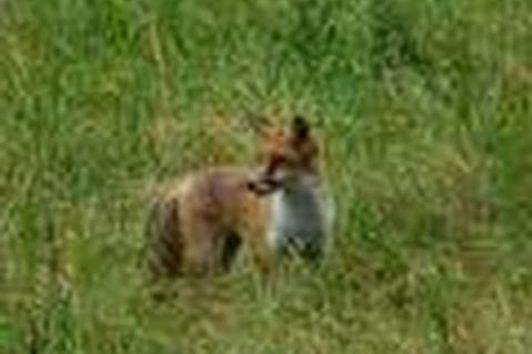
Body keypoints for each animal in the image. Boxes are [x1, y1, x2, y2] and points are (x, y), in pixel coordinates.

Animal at [145, 115, 332, 278]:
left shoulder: (316, 251)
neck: (303, 215)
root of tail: (184, 181)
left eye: (280, 160)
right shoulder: (268, 251)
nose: (250, 184)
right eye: (260, 158)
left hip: (226, 252)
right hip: (203, 255)